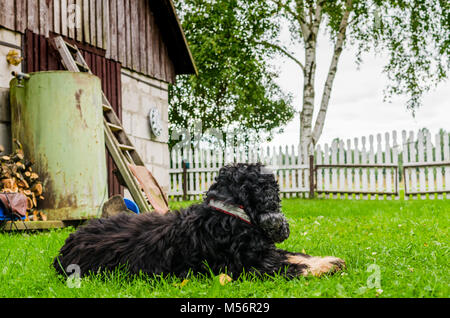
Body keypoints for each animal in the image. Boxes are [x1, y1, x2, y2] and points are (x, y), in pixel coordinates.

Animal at [54, 164, 346, 278]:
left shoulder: (265, 252)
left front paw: (329, 260)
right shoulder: (249, 266)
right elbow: (293, 265)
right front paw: (325, 266)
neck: (228, 213)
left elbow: (296, 254)